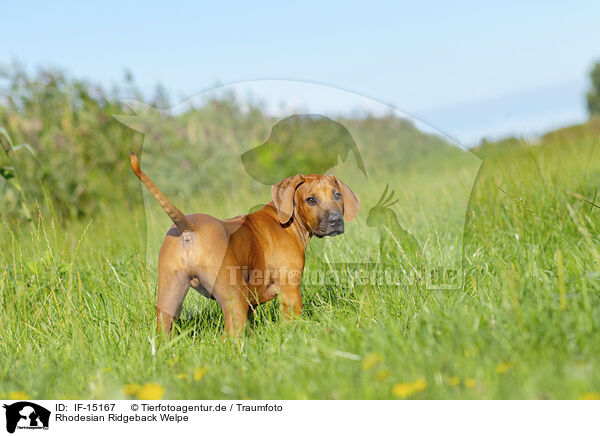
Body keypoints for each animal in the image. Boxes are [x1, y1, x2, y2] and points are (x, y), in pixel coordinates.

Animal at [129, 152, 358, 338]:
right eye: (310, 200)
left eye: (337, 195)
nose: (336, 221)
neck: (286, 219)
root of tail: (188, 226)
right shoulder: (290, 291)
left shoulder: (251, 303)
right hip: (233, 300)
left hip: (168, 300)